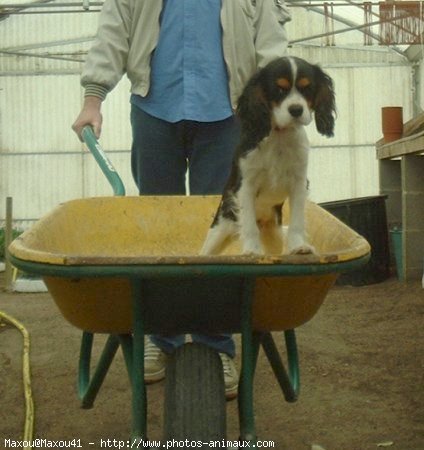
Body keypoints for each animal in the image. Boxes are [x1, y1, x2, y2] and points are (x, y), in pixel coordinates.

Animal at [200, 55, 336, 256]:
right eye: (279, 89)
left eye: (307, 88)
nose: (296, 110)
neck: (279, 135)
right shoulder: (246, 186)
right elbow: (249, 226)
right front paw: (251, 251)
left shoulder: (298, 184)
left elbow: (296, 221)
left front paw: (298, 246)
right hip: (220, 230)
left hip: (273, 235)